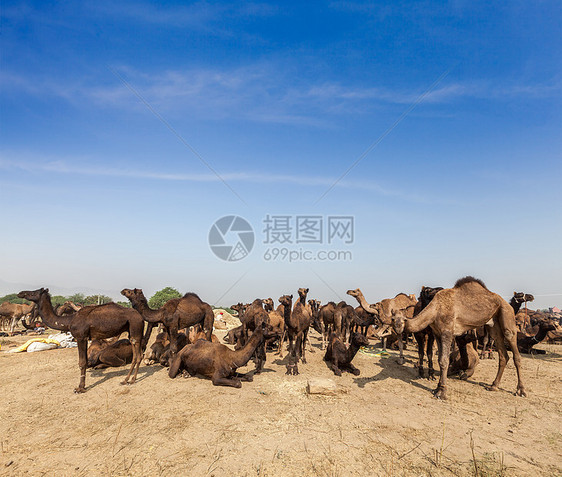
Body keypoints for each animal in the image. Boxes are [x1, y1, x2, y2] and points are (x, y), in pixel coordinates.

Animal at [388, 276, 524, 398]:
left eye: (402, 320)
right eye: (393, 319)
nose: (398, 329)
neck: (436, 309)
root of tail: (506, 304)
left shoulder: (447, 332)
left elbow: (444, 361)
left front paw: (442, 392)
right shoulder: (437, 333)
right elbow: (439, 359)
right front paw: (437, 387)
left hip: (507, 314)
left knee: (514, 349)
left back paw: (520, 390)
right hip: (493, 325)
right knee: (503, 354)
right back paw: (493, 386)